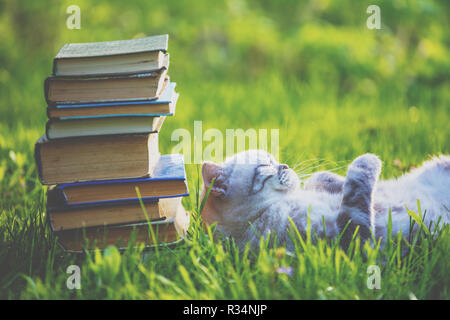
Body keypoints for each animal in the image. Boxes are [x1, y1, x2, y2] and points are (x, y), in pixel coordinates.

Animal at [201, 149, 450, 251]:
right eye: (266, 166)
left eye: (275, 159)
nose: (286, 166)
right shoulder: (353, 239)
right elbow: (358, 176)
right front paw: (368, 161)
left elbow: (319, 177)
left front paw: (333, 181)